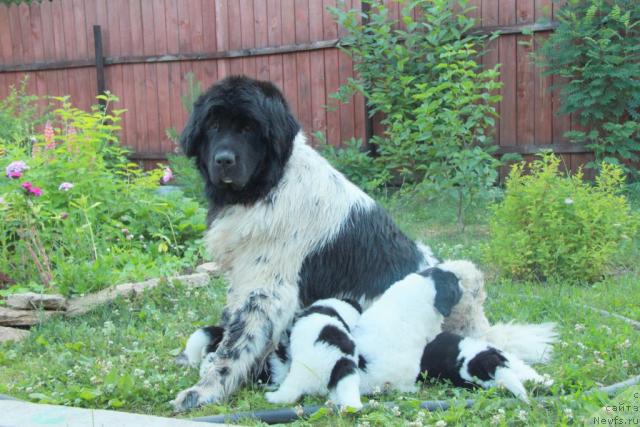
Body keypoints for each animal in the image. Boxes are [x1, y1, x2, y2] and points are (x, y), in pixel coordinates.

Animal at [171, 77, 556, 412]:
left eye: (249, 129)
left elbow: (236, 347)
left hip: (464, 275)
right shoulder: (243, 280)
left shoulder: (268, 289)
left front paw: (204, 390)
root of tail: (482, 331)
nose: (224, 160)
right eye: (213, 126)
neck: (266, 186)